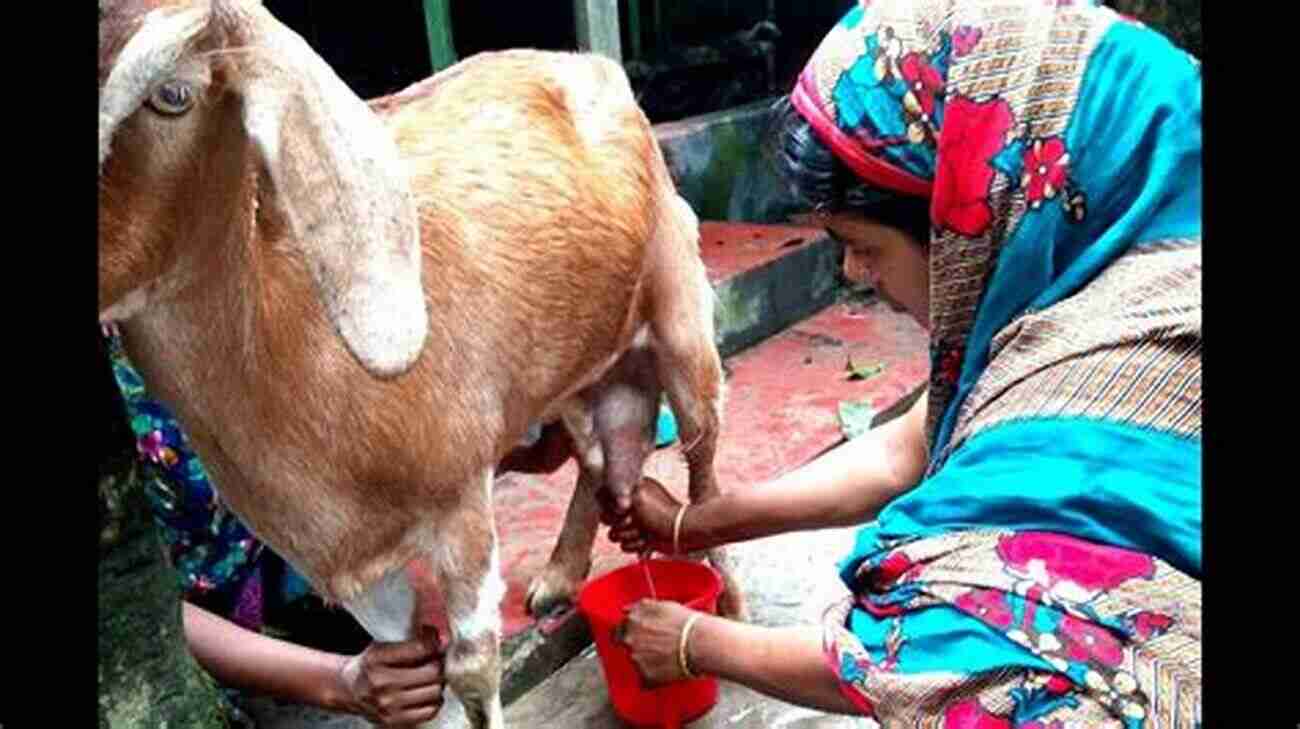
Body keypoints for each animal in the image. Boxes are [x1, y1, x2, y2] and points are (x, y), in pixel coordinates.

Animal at [98, 2, 754, 722]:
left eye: (173, 94)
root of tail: (595, 65)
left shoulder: (460, 503)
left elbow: (471, 672)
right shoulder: (353, 565)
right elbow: (398, 651)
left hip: (682, 314)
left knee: (704, 468)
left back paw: (729, 604)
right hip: (567, 366)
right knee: (598, 459)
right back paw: (561, 573)